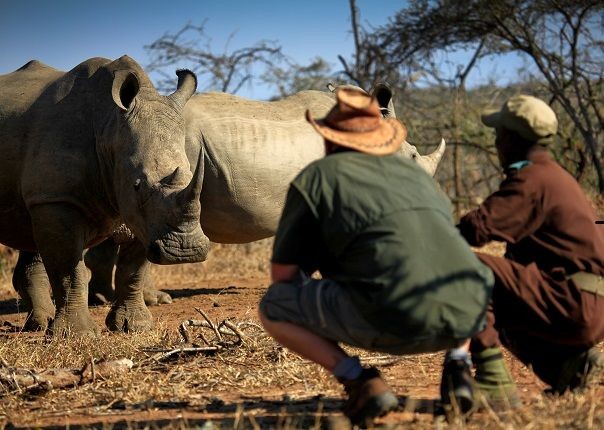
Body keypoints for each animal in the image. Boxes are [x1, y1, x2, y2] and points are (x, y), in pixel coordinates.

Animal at [0, 55, 211, 334]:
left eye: (191, 175)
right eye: (137, 185)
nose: (186, 251)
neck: (109, 126)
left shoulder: (138, 212)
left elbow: (132, 270)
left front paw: (134, 327)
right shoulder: (61, 198)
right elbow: (70, 270)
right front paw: (76, 334)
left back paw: (38, 325)